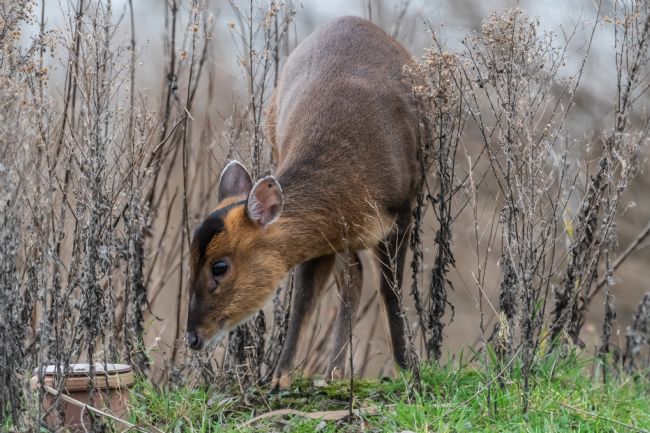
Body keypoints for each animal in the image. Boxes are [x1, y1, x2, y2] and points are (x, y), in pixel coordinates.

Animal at [186, 16, 420, 390]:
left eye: (219, 266)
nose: (192, 337)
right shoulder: (318, 235)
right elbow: (304, 300)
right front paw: (279, 377)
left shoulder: (401, 211)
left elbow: (391, 294)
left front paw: (407, 369)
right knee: (353, 275)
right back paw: (336, 371)